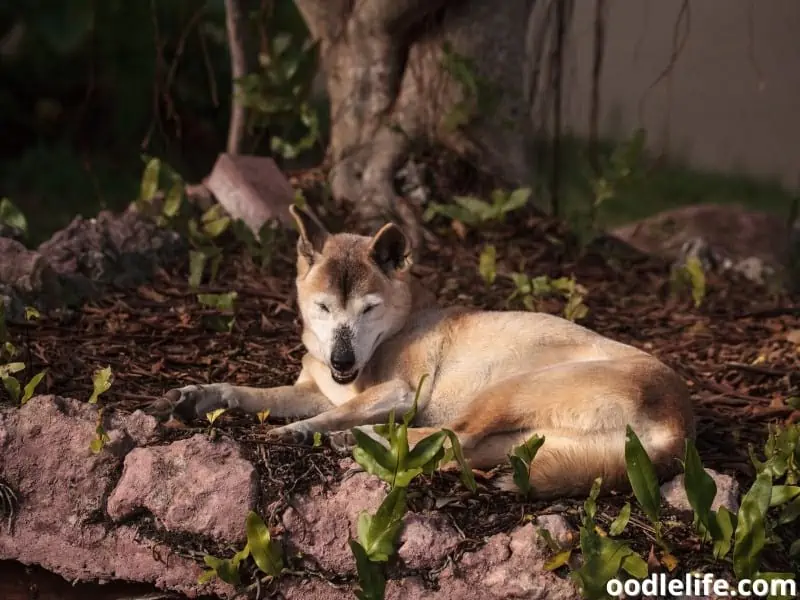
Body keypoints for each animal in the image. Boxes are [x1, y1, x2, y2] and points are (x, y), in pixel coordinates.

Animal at [161, 206, 692, 496]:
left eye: (369, 309)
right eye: (324, 307)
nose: (341, 362)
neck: (393, 330)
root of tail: (679, 427)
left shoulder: (399, 393)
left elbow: (335, 411)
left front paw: (300, 430)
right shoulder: (314, 388)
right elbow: (252, 393)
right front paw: (202, 394)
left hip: (510, 389)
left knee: (453, 433)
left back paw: (355, 440)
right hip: (526, 442)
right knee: (460, 445)